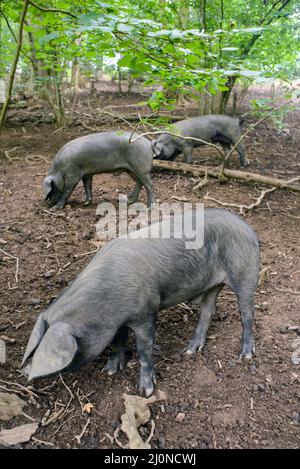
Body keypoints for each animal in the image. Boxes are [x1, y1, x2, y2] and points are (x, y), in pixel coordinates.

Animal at [22, 208, 258, 394]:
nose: (25, 372)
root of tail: (249, 229)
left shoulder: (145, 313)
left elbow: (144, 349)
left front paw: (146, 391)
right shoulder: (117, 323)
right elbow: (117, 343)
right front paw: (109, 371)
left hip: (246, 273)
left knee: (247, 313)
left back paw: (246, 356)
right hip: (211, 285)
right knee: (207, 311)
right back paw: (190, 351)